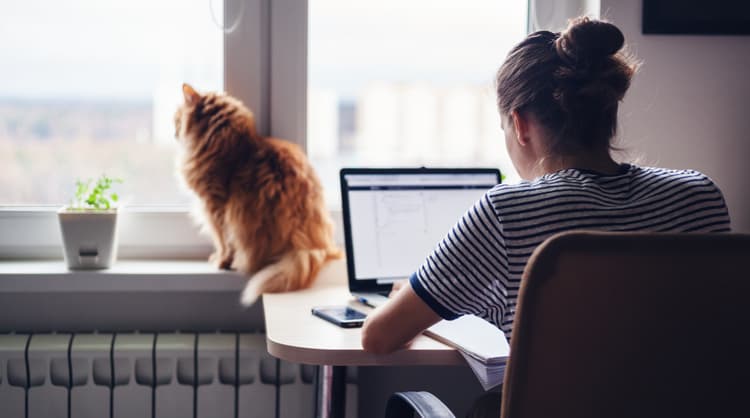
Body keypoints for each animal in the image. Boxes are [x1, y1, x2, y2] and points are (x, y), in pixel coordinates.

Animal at [175, 83, 342, 306]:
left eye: (177, 118)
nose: (174, 131)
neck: (230, 145)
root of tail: (308, 243)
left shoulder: (215, 207)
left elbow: (222, 241)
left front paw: (221, 261)